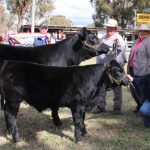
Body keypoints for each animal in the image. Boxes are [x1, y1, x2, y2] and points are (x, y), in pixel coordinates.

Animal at [0, 59, 130, 142]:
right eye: (117, 71)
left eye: (123, 69)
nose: (129, 81)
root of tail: (9, 63)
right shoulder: (77, 105)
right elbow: (78, 121)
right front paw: (78, 138)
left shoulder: (83, 105)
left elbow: (82, 119)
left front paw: (84, 132)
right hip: (14, 100)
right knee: (11, 116)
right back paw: (17, 139)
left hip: (10, 100)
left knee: (6, 112)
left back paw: (8, 131)